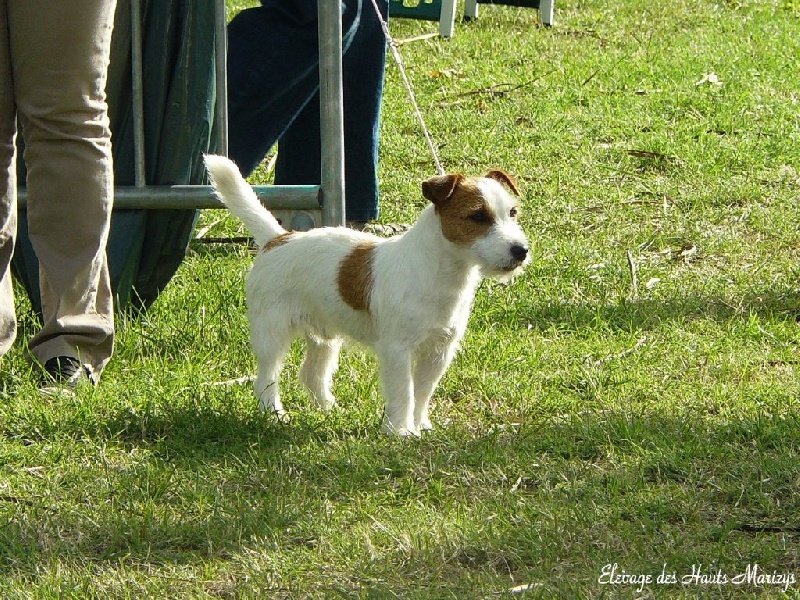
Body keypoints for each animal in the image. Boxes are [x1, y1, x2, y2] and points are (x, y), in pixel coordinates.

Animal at [204, 154, 530, 436]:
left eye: (512, 213)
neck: (440, 273)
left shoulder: (439, 351)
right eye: (478, 216)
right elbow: (404, 391)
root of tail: (278, 238)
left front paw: (420, 426)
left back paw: (330, 410)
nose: (521, 250)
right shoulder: (398, 350)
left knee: (312, 375)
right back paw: (274, 414)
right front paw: (401, 432)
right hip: (272, 332)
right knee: (266, 378)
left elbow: (422, 392)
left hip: (323, 336)